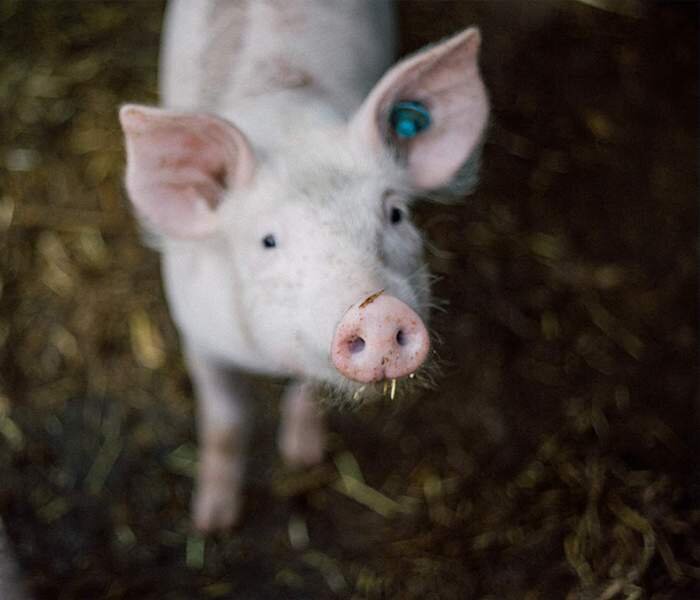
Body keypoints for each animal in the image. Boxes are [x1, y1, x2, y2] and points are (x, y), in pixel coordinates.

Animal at [119, 1, 486, 536]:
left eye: (396, 214)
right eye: (268, 240)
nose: (378, 311)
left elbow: (308, 389)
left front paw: (302, 458)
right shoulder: (197, 335)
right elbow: (225, 421)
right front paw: (213, 521)